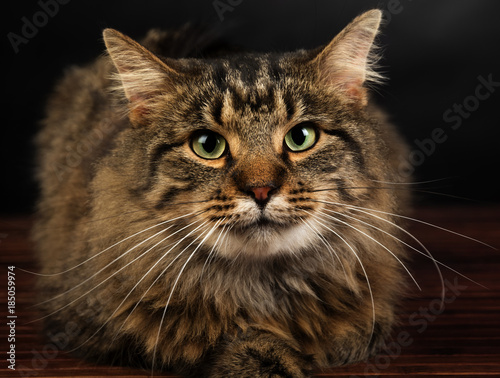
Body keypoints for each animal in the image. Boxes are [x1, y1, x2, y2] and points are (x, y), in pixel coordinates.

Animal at [33, 9, 412, 378]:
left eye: (301, 137)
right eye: (208, 145)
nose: (261, 189)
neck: (261, 285)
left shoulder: (370, 317)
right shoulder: (91, 323)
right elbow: (204, 341)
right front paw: (262, 359)